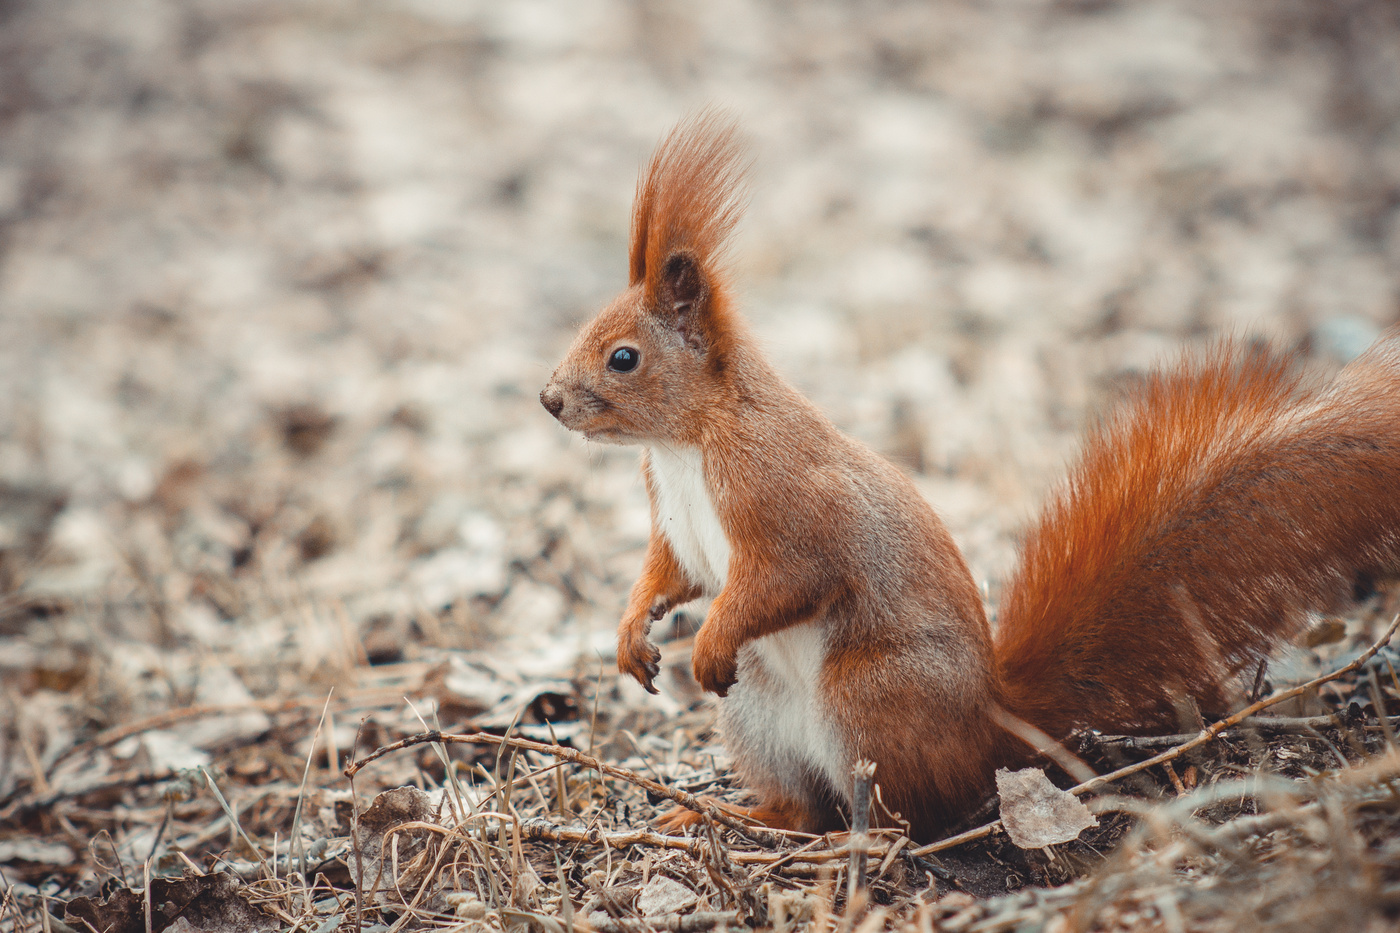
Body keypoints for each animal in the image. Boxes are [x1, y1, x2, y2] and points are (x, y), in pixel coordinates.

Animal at [539, 111, 1400, 842]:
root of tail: (993, 725)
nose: (550, 399)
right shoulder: (676, 523)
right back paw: (739, 815)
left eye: (624, 357)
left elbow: (785, 576)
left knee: (903, 818)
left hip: (870, 698)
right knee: (803, 804)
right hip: (759, 714)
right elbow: (671, 573)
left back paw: (849, 841)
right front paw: (631, 634)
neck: (686, 443)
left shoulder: (784, 499)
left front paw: (706, 640)